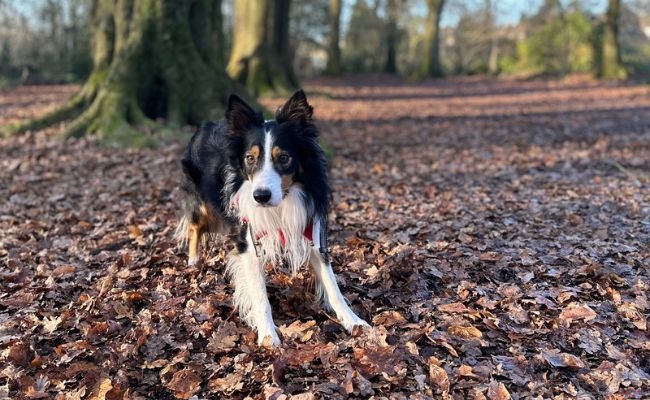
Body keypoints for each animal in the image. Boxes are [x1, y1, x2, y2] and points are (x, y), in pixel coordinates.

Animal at [175, 89, 368, 346]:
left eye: (284, 157)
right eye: (250, 158)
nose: (260, 196)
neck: (282, 202)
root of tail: (204, 125)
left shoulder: (312, 231)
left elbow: (333, 287)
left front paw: (354, 322)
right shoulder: (249, 243)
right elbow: (260, 297)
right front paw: (268, 336)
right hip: (201, 203)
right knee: (194, 227)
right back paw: (193, 261)